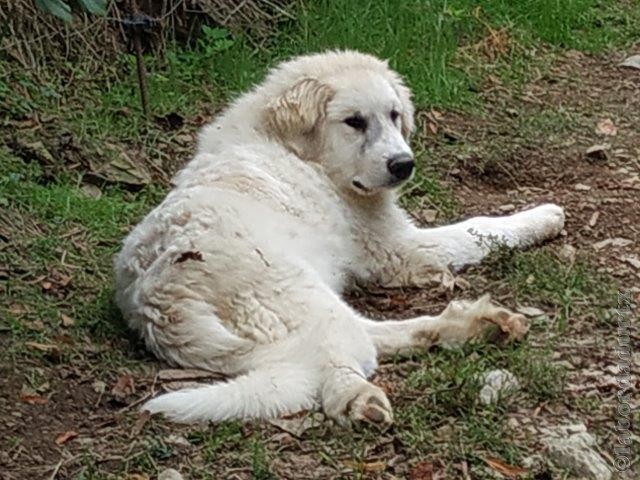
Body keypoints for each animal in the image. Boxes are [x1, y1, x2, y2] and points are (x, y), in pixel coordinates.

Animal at [115, 50, 564, 426]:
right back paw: (359, 396)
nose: (404, 164)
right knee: (338, 360)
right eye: (355, 122)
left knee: (368, 337)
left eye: (394, 115)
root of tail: (158, 302)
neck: (300, 154)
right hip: (299, 294)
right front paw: (543, 217)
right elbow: (480, 228)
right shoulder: (401, 248)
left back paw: (476, 325)